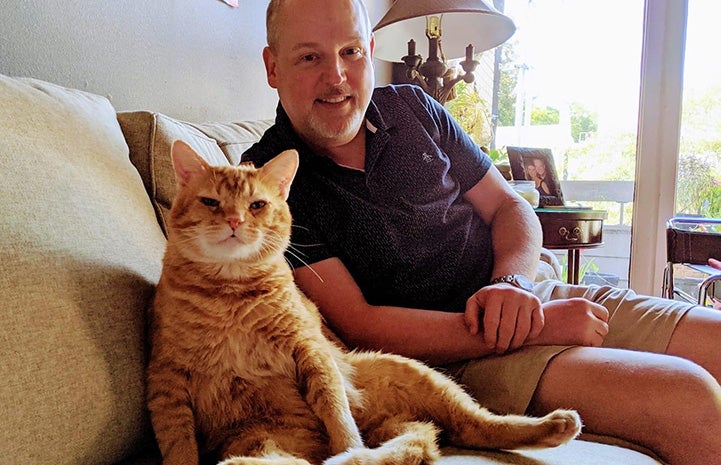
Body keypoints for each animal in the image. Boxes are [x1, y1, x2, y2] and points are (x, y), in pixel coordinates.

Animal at [146, 140, 580, 464]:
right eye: (211, 202)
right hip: (259, 440)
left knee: (474, 425)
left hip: (412, 372)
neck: (231, 293)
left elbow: (337, 413)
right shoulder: (166, 381)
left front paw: (346, 444)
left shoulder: (312, 354)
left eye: (257, 205)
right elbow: (178, 444)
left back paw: (554, 425)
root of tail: (384, 424)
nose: (235, 221)